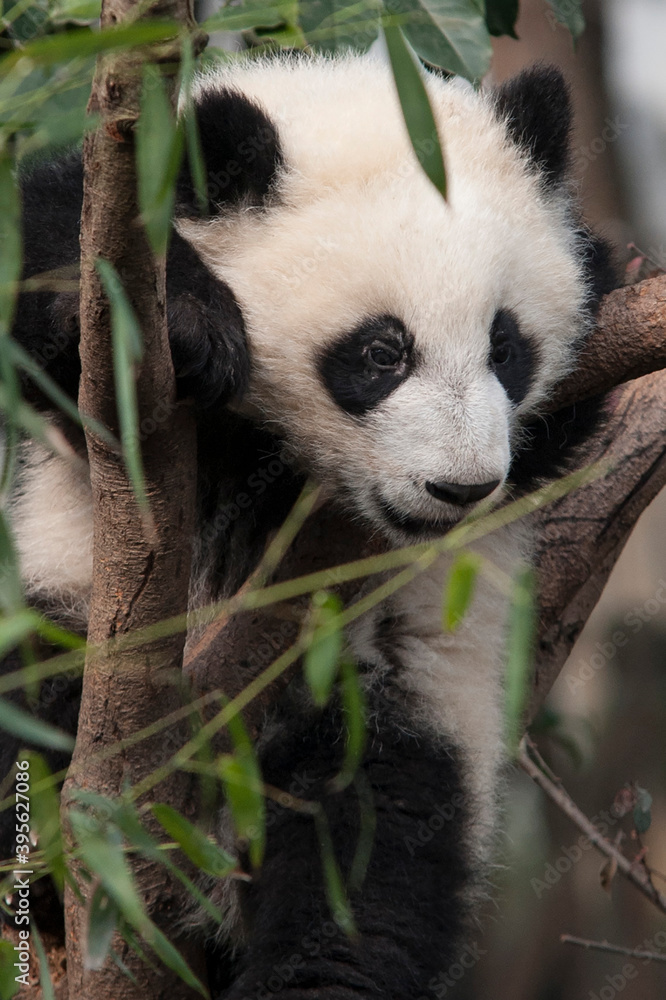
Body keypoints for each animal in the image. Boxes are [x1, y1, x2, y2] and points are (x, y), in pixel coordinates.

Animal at [1, 53, 616, 998]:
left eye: (505, 348)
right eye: (380, 352)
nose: (461, 487)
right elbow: (53, 273)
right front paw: (190, 322)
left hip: (382, 711)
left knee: (362, 869)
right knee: (31, 718)